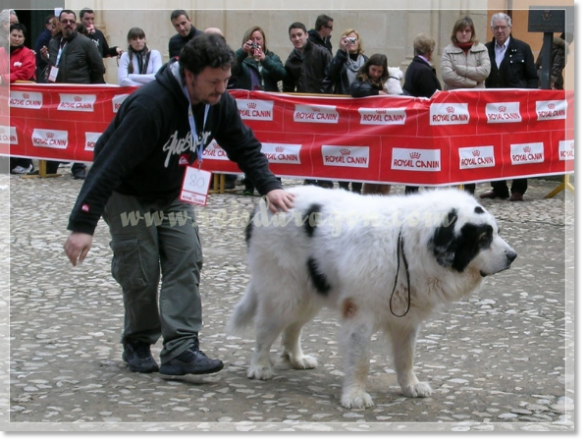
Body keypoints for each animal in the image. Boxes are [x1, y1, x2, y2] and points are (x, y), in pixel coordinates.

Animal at [228, 185, 516, 410]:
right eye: (483, 237)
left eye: (496, 232)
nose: (513, 256)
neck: (407, 244)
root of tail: (267, 201)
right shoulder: (360, 315)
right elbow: (361, 361)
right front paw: (355, 396)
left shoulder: (406, 319)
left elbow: (406, 357)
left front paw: (411, 387)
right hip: (284, 292)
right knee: (266, 328)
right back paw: (260, 366)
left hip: (308, 293)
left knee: (293, 327)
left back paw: (296, 359)